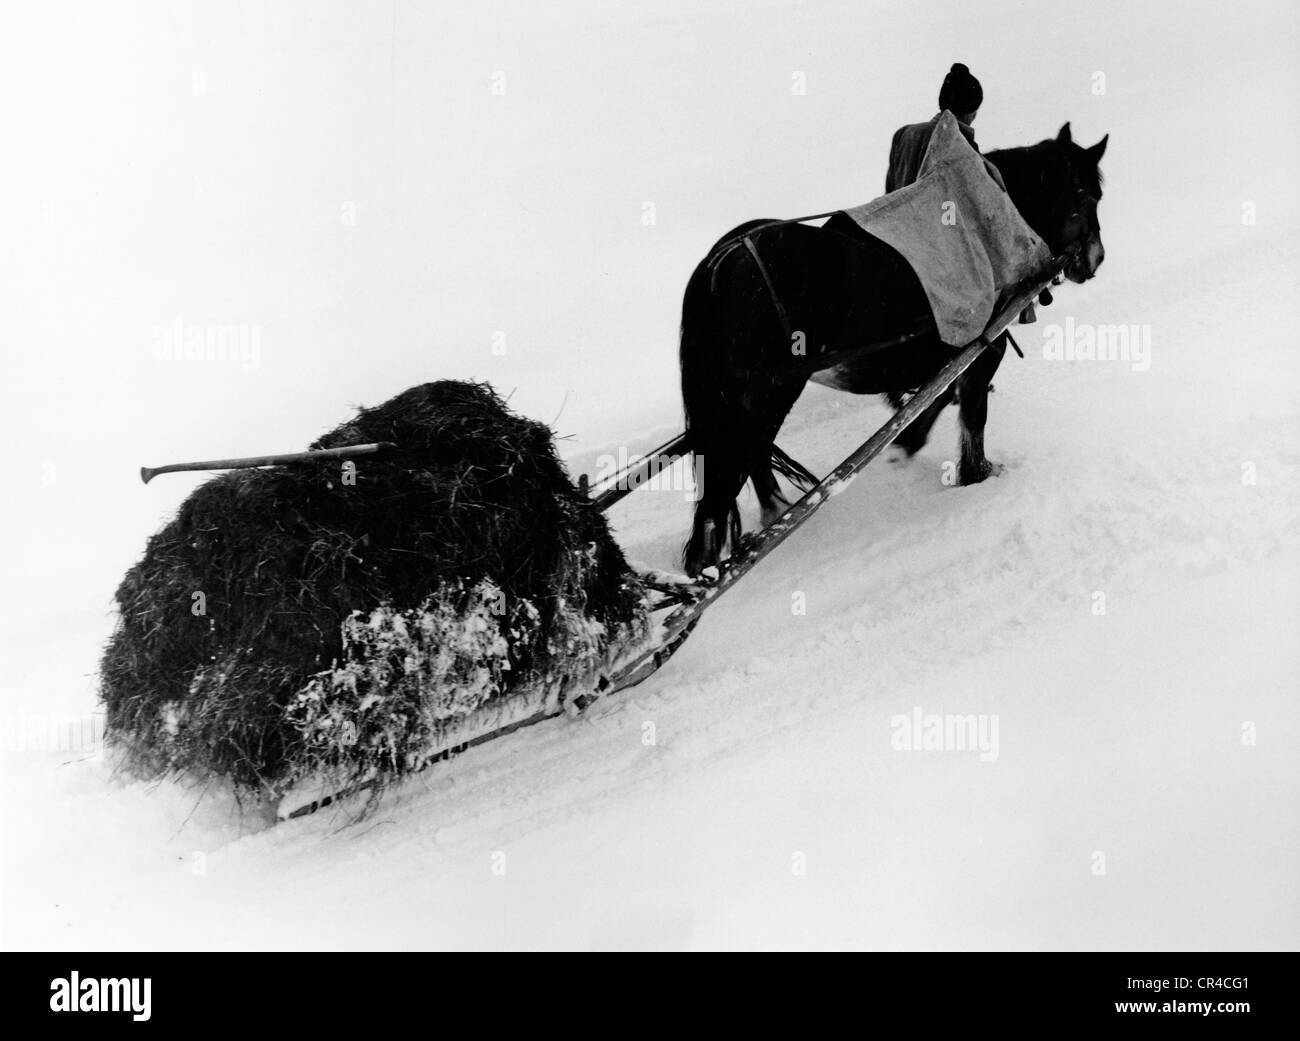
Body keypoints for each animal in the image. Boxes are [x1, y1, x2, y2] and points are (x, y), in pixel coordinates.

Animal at [681, 124, 1107, 577]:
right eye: (1087, 196)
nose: (1096, 258)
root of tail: (721, 260)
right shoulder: (981, 351)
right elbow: (971, 417)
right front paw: (976, 474)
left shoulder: (948, 359)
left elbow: (938, 400)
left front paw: (911, 440)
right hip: (768, 391)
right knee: (729, 479)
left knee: (751, 459)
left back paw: (768, 516)